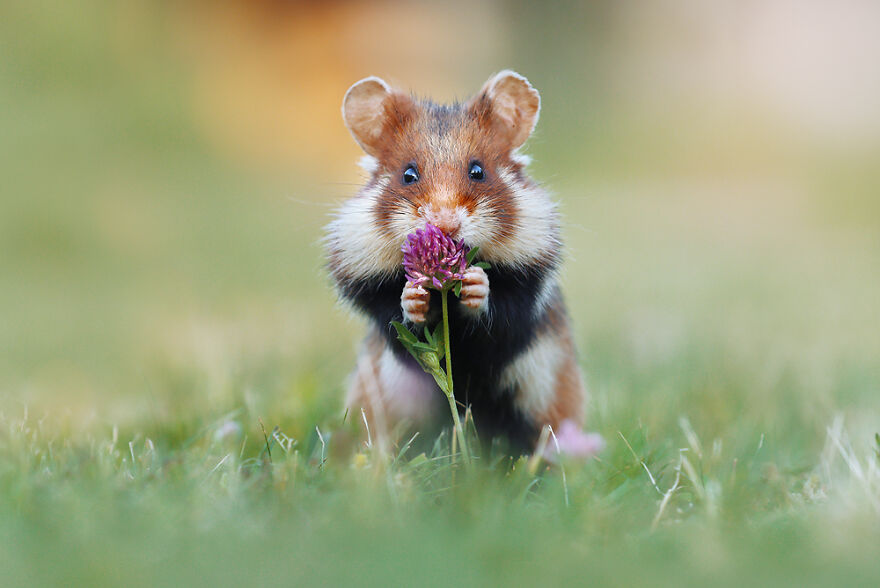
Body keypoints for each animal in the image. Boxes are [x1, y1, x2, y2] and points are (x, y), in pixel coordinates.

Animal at [324, 70, 584, 454]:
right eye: (408, 174)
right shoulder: (371, 291)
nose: (444, 224)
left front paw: (475, 285)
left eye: (478, 171)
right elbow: (396, 313)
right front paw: (415, 297)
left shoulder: (527, 289)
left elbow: (501, 311)